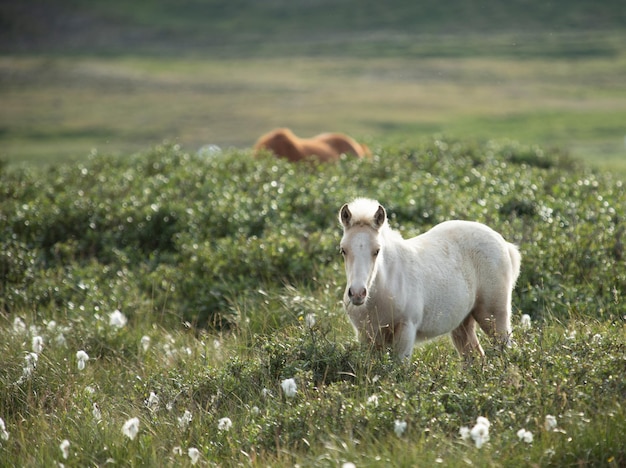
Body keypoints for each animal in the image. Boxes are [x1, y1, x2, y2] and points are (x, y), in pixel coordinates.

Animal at [338, 197, 520, 362]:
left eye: (377, 250)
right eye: (343, 250)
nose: (357, 294)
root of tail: (503, 242)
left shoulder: (406, 330)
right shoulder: (368, 337)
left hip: (494, 316)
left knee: (506, 350)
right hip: (462, 323)